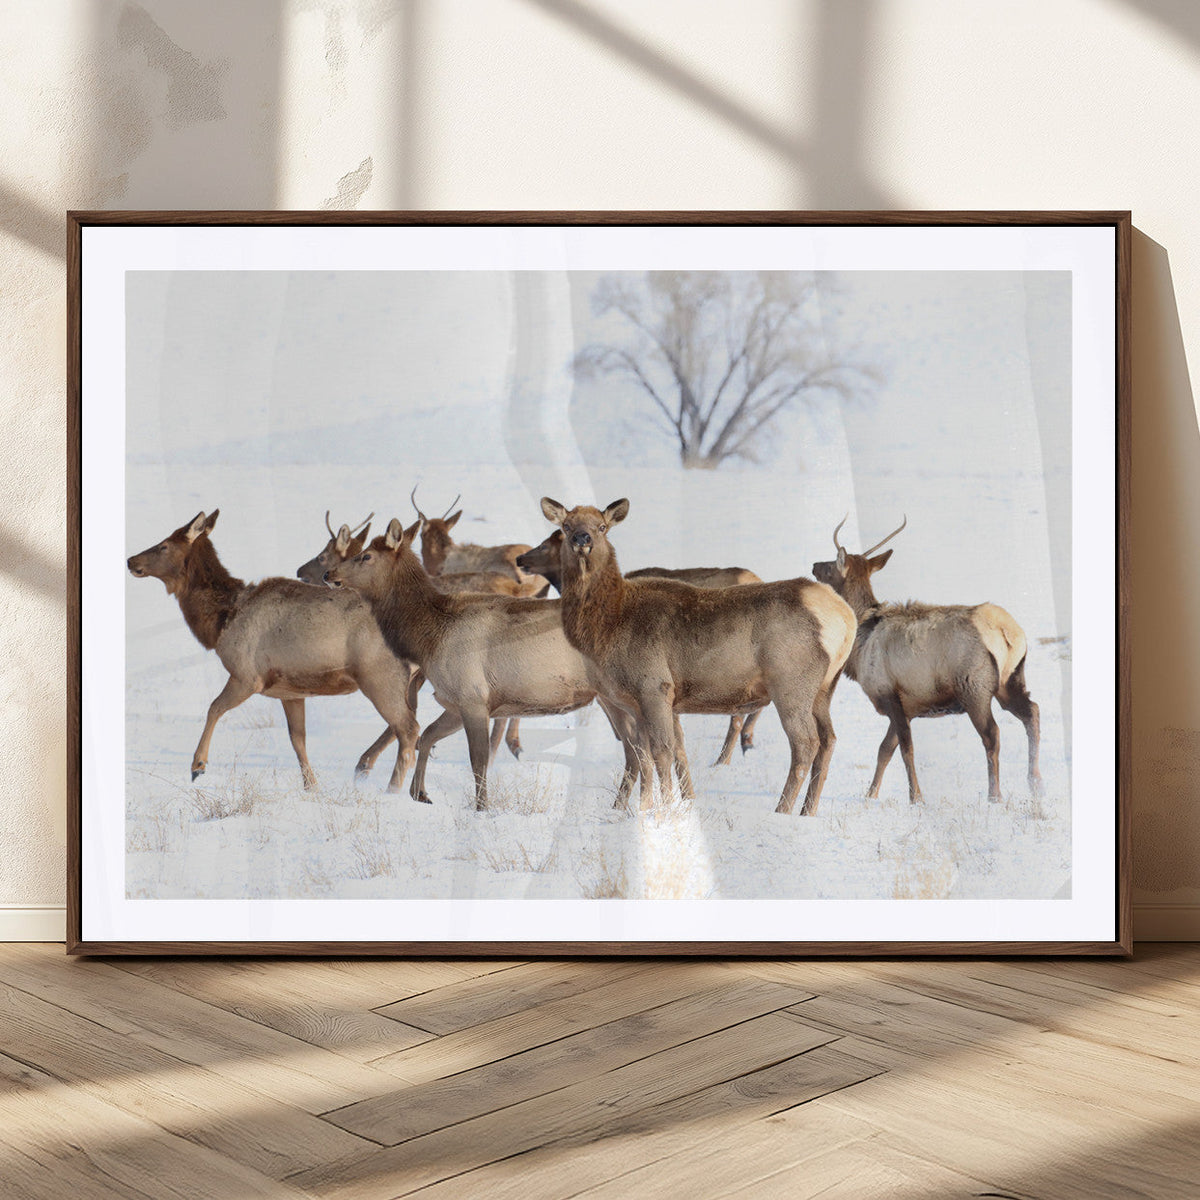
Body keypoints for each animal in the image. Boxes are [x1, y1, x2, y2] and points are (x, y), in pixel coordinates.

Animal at [128, 510, 420, 794]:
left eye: (164, 545)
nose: (131, 560)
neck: (221, 621)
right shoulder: (290, 691)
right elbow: (297, 739)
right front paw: (311, 787)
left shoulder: (247, 675)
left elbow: (214, 708)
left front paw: (198, 765)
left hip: (379, 675)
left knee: (408, 728)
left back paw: (392, 789)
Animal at [324, 519, 690, 812]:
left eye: (365, 556)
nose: (329, 574)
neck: (428, 636)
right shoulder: (456, 701)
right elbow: (426, 737)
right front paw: (420, 793)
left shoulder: (473, 696)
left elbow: (478, 759)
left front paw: (482, 808)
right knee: (641, 750)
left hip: (626, 693)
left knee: (643, 749)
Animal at [811, 516, 1043, 804]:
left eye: (831, 566)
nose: (814, 566)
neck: (861, 640)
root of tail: (1007, 632)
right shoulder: (907, 706)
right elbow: (884, 750)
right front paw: (871, 794)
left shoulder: (889, 693)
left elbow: (906, 749)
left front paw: (916, 797)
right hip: (1010, 680)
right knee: (1032, 711)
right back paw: (1036, 784)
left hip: (974, 686)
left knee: (992, 734)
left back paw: (995, 795)